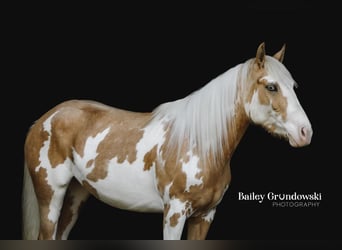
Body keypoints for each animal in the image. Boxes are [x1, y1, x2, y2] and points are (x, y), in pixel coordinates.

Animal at [22, 43, 312, 240]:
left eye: (293, 87)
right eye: (271, 87)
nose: (305, 132)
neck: (200, 144)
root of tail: (43, 120)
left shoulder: (205, 216)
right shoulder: (174, 212)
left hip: (76, 195)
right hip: (51, 196)